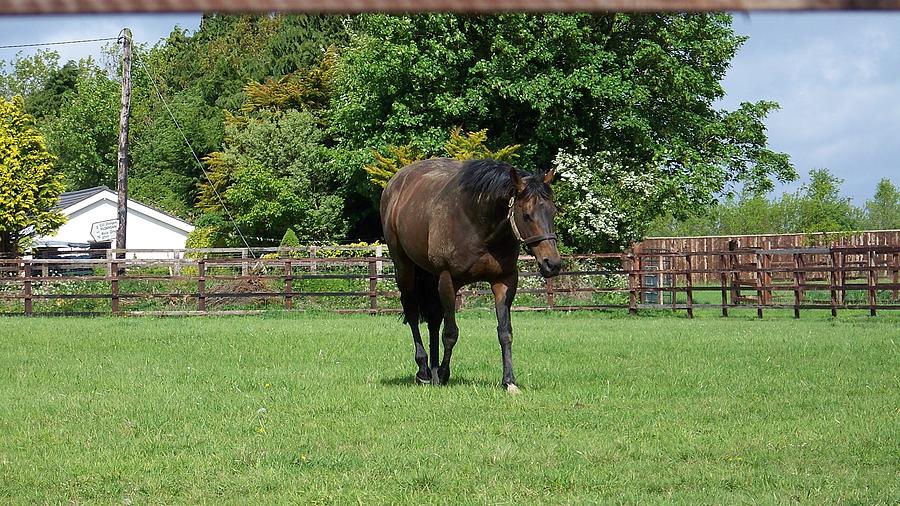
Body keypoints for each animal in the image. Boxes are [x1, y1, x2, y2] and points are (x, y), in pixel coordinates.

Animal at [382, 157, 564, 392]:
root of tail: (395, 183)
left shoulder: (504, 281)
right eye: (526, 215)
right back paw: (424, 370)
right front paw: (444, 374)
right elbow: (450, 333)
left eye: (553, 211)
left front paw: (509, 380)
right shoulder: (448, 280)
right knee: (413, 312)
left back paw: (433, 369)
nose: (553, 263)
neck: (478, 225)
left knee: (433, 319)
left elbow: (505, 332)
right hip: (404, 268)